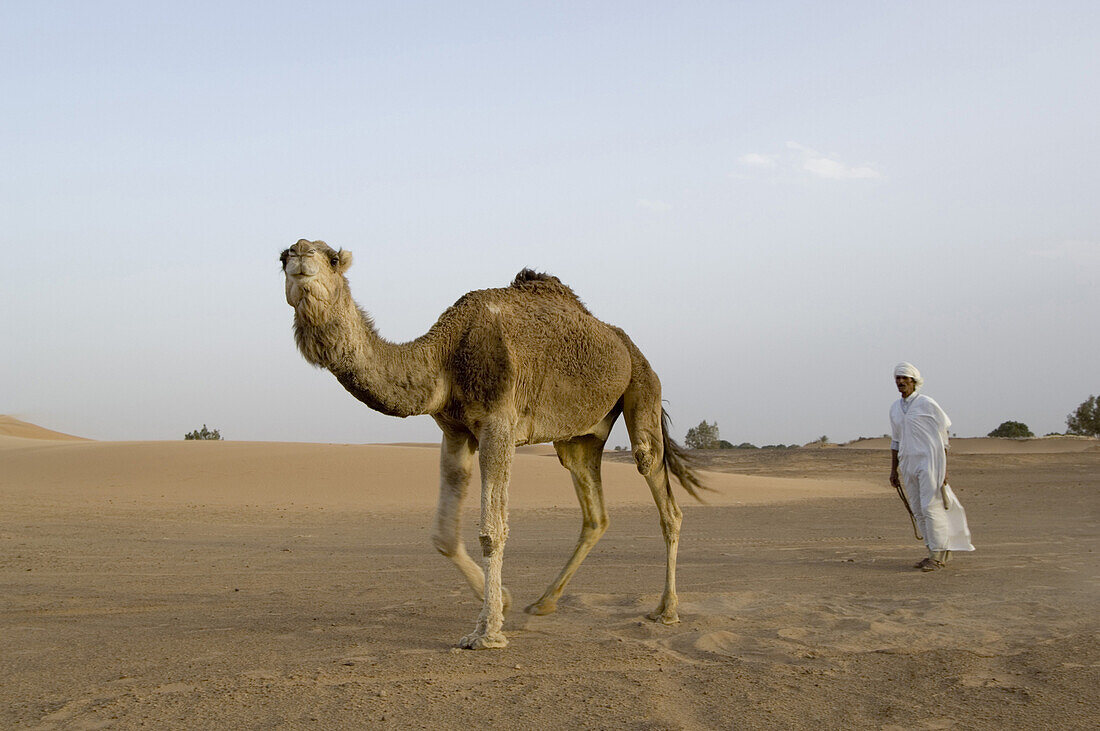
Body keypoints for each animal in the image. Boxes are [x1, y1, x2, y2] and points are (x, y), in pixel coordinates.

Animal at [279, 239, 699, 650]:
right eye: (281, 257)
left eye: (333, 258)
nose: (299, 252)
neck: (445, 355)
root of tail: (629, 346)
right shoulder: (455, 430)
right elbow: (443, 535)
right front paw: (506, 601)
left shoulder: (498, 424)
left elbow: (492, 531)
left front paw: (487, 632)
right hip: (580, 438)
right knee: (595, 513)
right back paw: (543, 602)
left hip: (643, 386)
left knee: (658, 484)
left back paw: (667, 610)